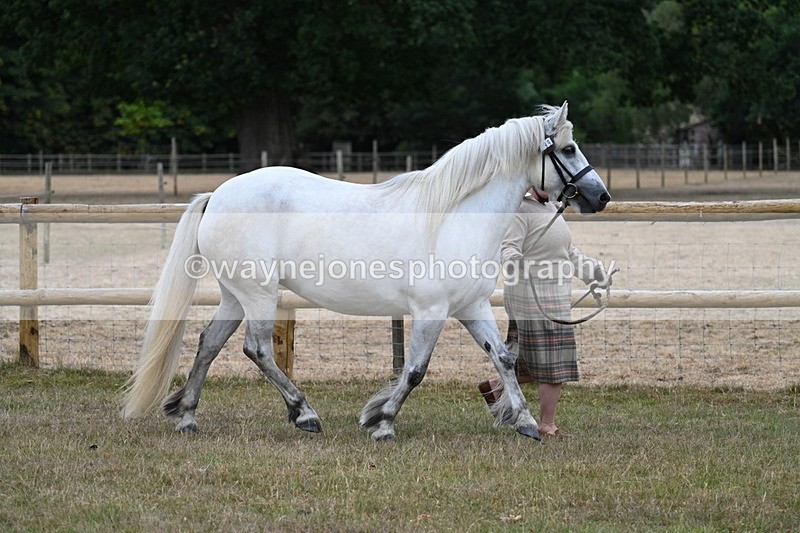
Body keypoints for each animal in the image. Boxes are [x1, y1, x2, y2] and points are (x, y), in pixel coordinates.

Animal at [122, 102, 610, 441]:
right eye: (568, 148)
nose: (600, 196)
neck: (452, 217)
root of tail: (218, 194)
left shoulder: (470, 307)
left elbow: (504, 358)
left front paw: (525, 422)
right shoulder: (431, 312)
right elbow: (414, 370)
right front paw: (383, 422)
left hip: (235, 295)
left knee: (208, 343)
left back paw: (187, 416)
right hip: (259, 294)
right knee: (256, 349)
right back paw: (304, 414)